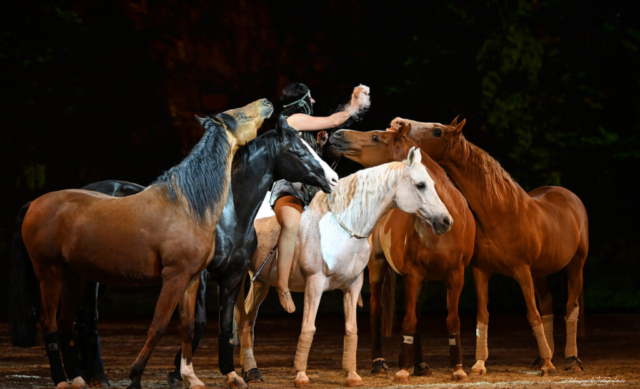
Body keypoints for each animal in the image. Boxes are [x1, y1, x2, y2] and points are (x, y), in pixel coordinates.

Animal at [11, 115, 340, 388]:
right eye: (300, 152)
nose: (333, 180)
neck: (223, 210)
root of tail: (35, 204)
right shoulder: (198, 276)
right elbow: (192, 323)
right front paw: (172, 373)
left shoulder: (231, 276)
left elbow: (220, 325)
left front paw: (227, 374)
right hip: (61, 276)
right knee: (68, 322)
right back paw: (75, 378)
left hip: (80, 276)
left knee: (72, 323)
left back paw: (84, 377)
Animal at [234, 147, 450, 386]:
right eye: (421, 185)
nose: (446, 221)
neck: (344, 226)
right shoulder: (315, 283)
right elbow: (308, 327)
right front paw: (301, 375)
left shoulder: (352, 286)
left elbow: (351, 329)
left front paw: (353, 375)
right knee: (241, 317)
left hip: (260, 281)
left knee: (248, 319)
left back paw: (250, 371)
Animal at [330, 123, 476, 380]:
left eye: (375, 137)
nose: (337, 134)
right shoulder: (412, 274)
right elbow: (407, 321)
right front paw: (402, 369)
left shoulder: (455, 276)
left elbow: (451, 321)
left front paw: (457, 369)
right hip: (378, 268)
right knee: (377, 312)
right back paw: (379, 362)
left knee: (415, 313)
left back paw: (421, 364)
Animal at [396, 116, 592, 374]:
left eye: (437, 131)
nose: (399, 122)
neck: (500, 212)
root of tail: (570, 196)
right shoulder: (482, 271)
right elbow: (483, 316)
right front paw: (479, 364)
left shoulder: (522, 272)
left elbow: (533, 315)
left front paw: (549, 366)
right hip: (541, 272)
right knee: (548, 306)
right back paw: (542, 356)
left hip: (575, 266)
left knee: (571, 308)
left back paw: (571, 360)